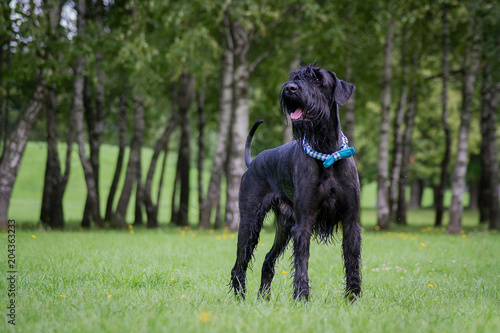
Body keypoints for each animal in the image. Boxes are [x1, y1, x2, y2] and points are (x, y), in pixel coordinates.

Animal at [229, 63, 362, 300]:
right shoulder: (304, 223)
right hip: (250, 222)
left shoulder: (350, 222)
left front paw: (353, 298)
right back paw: (240, 298)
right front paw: (301, 298)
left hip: (284, 227)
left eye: (317, 78)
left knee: (267, 259)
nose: (290, 88)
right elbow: (302, 263)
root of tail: (253, 162)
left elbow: (352, 262)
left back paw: (263, 298)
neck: (326, 149)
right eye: (296, 76)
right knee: (239, 265)